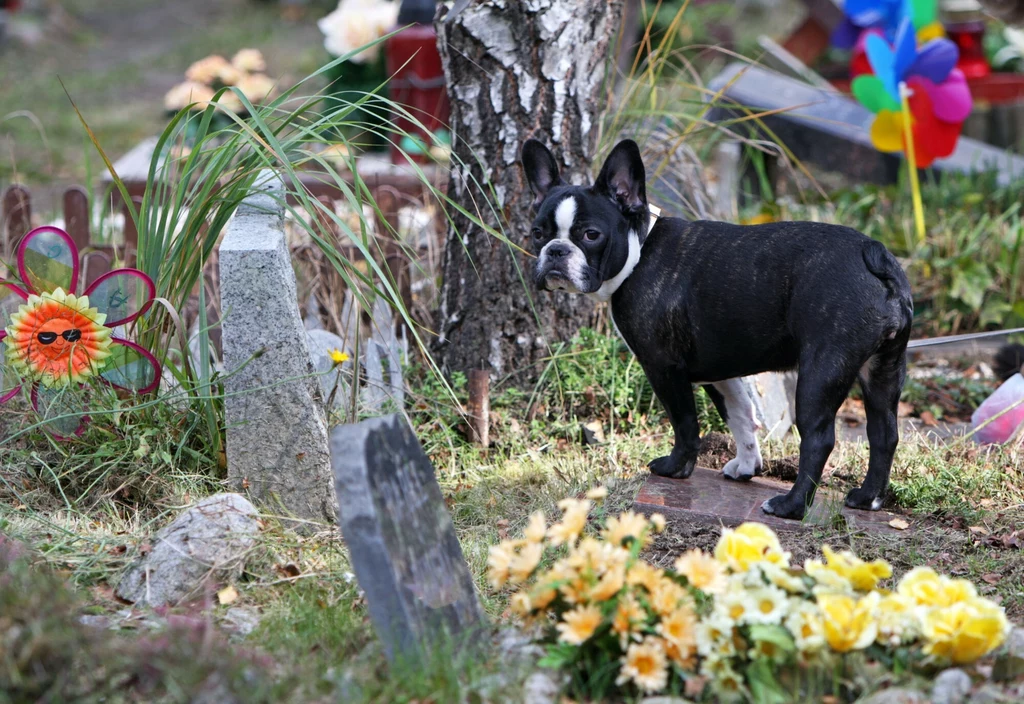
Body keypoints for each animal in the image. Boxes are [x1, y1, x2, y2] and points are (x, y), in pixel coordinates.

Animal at [520, 139, 913, 521]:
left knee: (819, 439)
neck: (639, 250)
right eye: (537, 233)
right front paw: (746, 465)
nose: (555, 251)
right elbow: (740, 416)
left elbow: (684, 423)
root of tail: (873, 252)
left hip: (821, 371)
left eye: (590, 235)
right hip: (883, 369)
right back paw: (868, 498)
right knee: (884, 432)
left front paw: (677, 468)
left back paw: (791, 506)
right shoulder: (720, 374)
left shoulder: (664, 367)